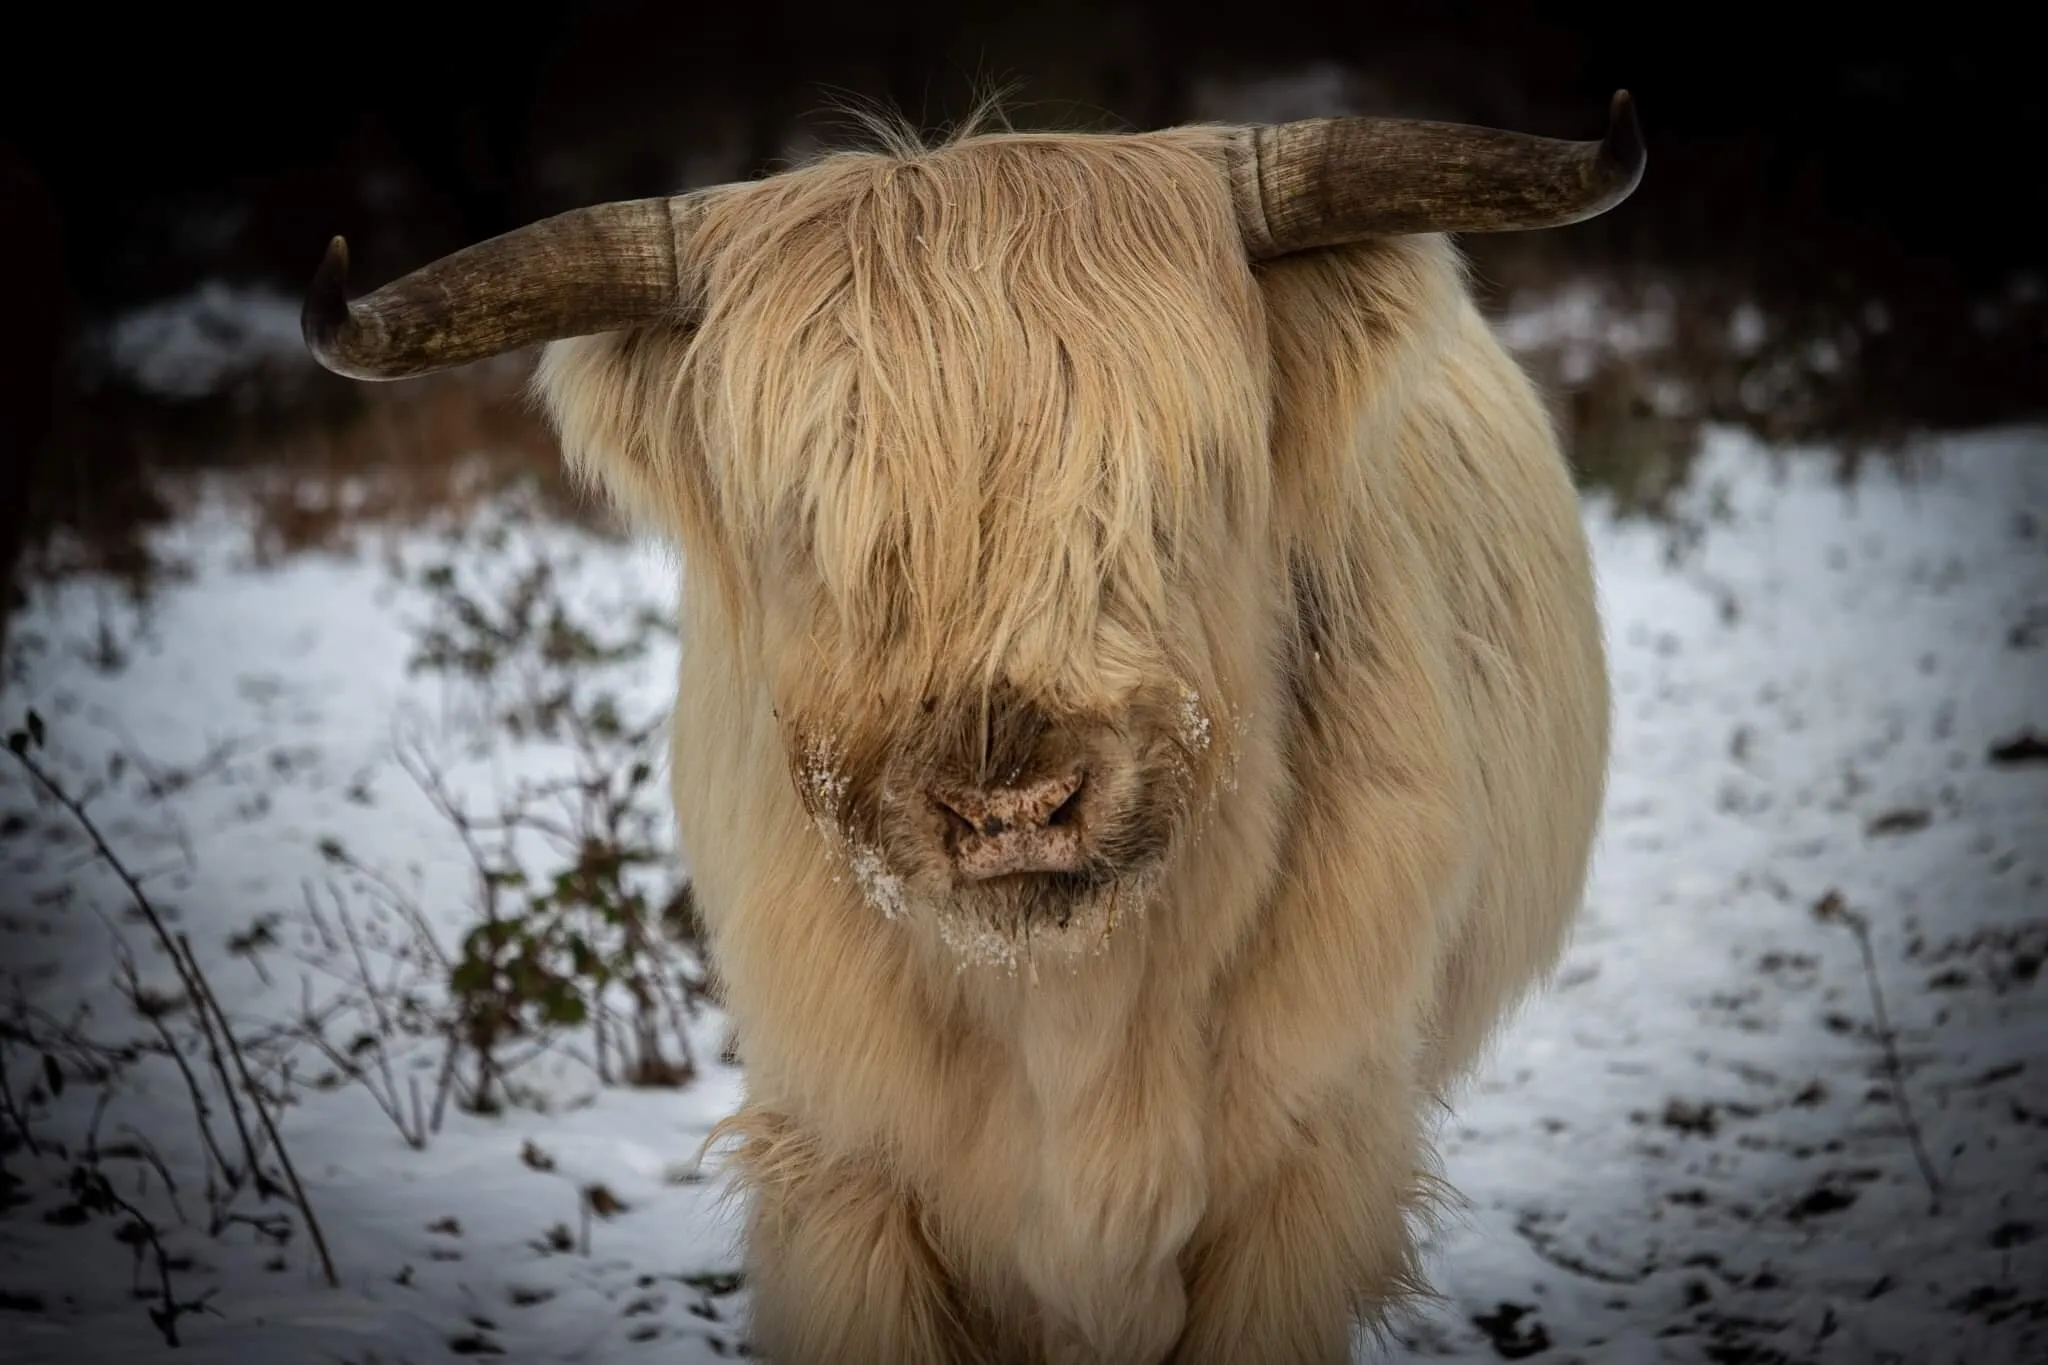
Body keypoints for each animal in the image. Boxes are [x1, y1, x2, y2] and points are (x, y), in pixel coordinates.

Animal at [303, 92, 1641, 1365]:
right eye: (809, 523)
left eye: (1176, 487)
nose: (1009, 808)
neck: (1067, 1010)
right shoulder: (846, 1170)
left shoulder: (1308, 1167)